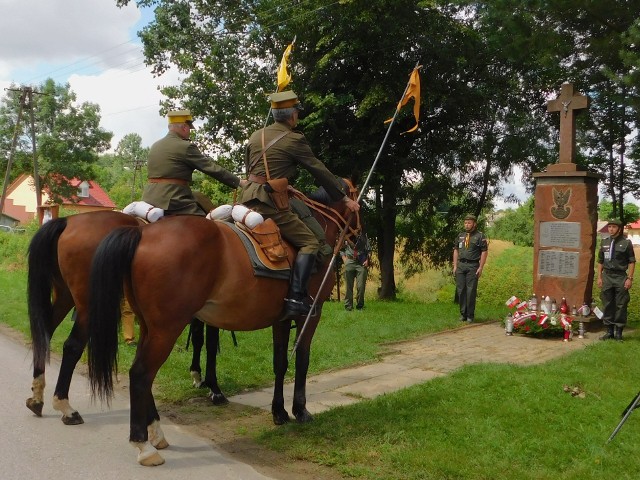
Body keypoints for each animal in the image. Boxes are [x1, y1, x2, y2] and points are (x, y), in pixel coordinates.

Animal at [26, 210, 225, 424]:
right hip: (87, 307)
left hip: (64, 296)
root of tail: (67, 221)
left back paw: (37, 398)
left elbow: (199, 339)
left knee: (44, 334)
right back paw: (66, 408)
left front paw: (199, 377)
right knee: (72, 346)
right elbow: (208, 343)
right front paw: (213, 388)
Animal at [85, 186, 358, 466]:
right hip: (166, 329)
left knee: (143, 372)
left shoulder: (281, 320)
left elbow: (280, 363)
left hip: (150, 327)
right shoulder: (311, 315)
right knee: (141, 374)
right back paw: (144, 445)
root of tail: (141, 233)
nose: (361, 243)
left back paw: (156, 433)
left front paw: (279, 412)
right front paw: (300, 410)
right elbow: (302, 359)